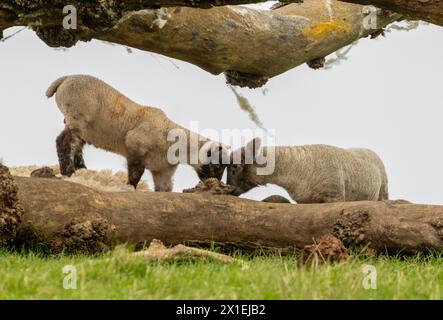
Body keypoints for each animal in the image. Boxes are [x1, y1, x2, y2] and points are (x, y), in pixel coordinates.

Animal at [46, 74, 229, 190]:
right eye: (217, 165)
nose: (216, 182)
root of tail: (65, 79)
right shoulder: (136, 148)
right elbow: (135, 175)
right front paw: (130, 188)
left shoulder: (163, 173)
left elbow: (164, 190)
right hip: (78, 116)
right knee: (63, 141)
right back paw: (68, 172)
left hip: (82, 127)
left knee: (76, 147)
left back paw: (81, 170)